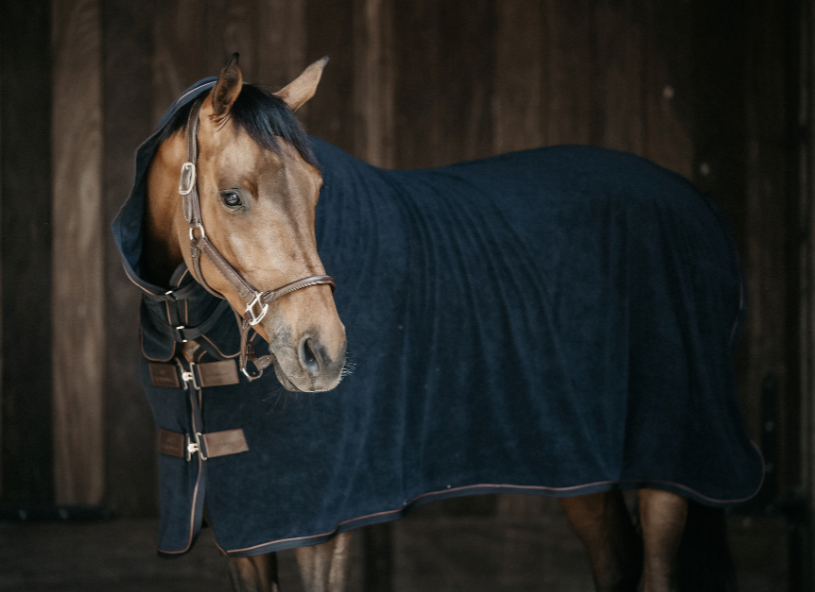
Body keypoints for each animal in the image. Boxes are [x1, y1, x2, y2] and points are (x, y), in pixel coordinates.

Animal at [112, 54, 763, 592]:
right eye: (231, 197)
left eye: (318, 190)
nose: (322, 352)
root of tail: (700, 206)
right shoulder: (246, 536)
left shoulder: (327, 523)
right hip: (580, 463)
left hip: (672, 464)